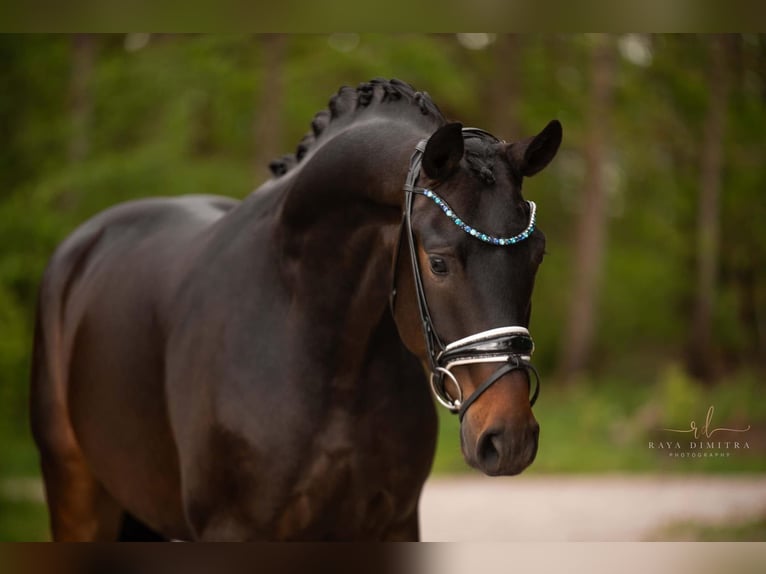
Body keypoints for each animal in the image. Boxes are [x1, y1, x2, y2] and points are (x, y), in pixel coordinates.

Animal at [30, 79, 564, 544]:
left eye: (537, 253)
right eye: (438, 262)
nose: (509, 437)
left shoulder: (392, 524)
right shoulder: (232, 530)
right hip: (78, 496)